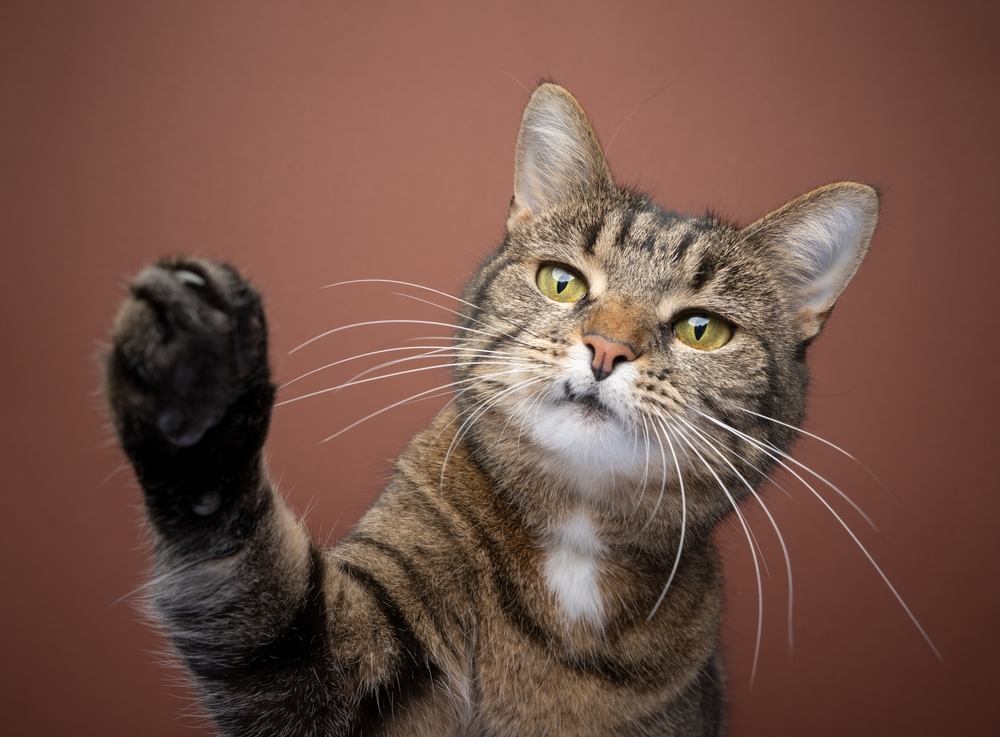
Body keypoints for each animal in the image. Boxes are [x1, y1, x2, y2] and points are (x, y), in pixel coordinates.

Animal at [105, 83, 880, 732]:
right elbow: (266, 608)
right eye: (562, 282)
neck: (575, 545)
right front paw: (201, 399)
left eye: (701, 329)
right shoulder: (334, 661)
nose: (607, 348)